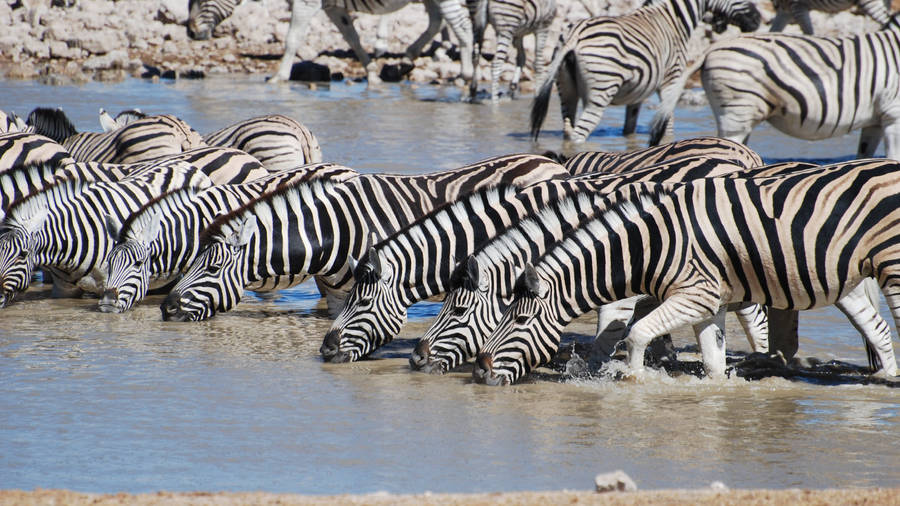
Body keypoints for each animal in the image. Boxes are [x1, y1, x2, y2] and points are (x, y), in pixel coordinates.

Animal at [187, 0, 475, 85]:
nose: (189, 32)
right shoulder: (333, 8)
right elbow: (353, 37)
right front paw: (372, 72)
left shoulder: (306, 3)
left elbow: (292, 38)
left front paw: (279, 76)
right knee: (437, 20)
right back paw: (406, 59)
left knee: (461, 27)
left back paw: (465, 73)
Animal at [472, 159, 900, 386]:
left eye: (520, 320)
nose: (480, 371)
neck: (649, 244)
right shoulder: (711, 304)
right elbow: (712, 361)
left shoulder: (694, 295)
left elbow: (634, 333)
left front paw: (633, 381)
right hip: (848, 276)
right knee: (877, 329)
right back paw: (885, 378)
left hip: (892, 265)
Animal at [529, 0, 761, 145]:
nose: (758, 19)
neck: (673, 19)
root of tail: (575, 34)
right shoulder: (671, 79)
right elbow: (668, 123)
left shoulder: (637, 94)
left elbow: (629, 128)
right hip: (601, 88)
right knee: (580, 133)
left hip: (566, 89)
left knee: (568, 128)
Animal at [650, 13, 900, 159]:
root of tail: (711, 48)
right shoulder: (893, 113)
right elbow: (893, 158)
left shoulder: (876, 120)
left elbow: (864, 156)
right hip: (737, 112)